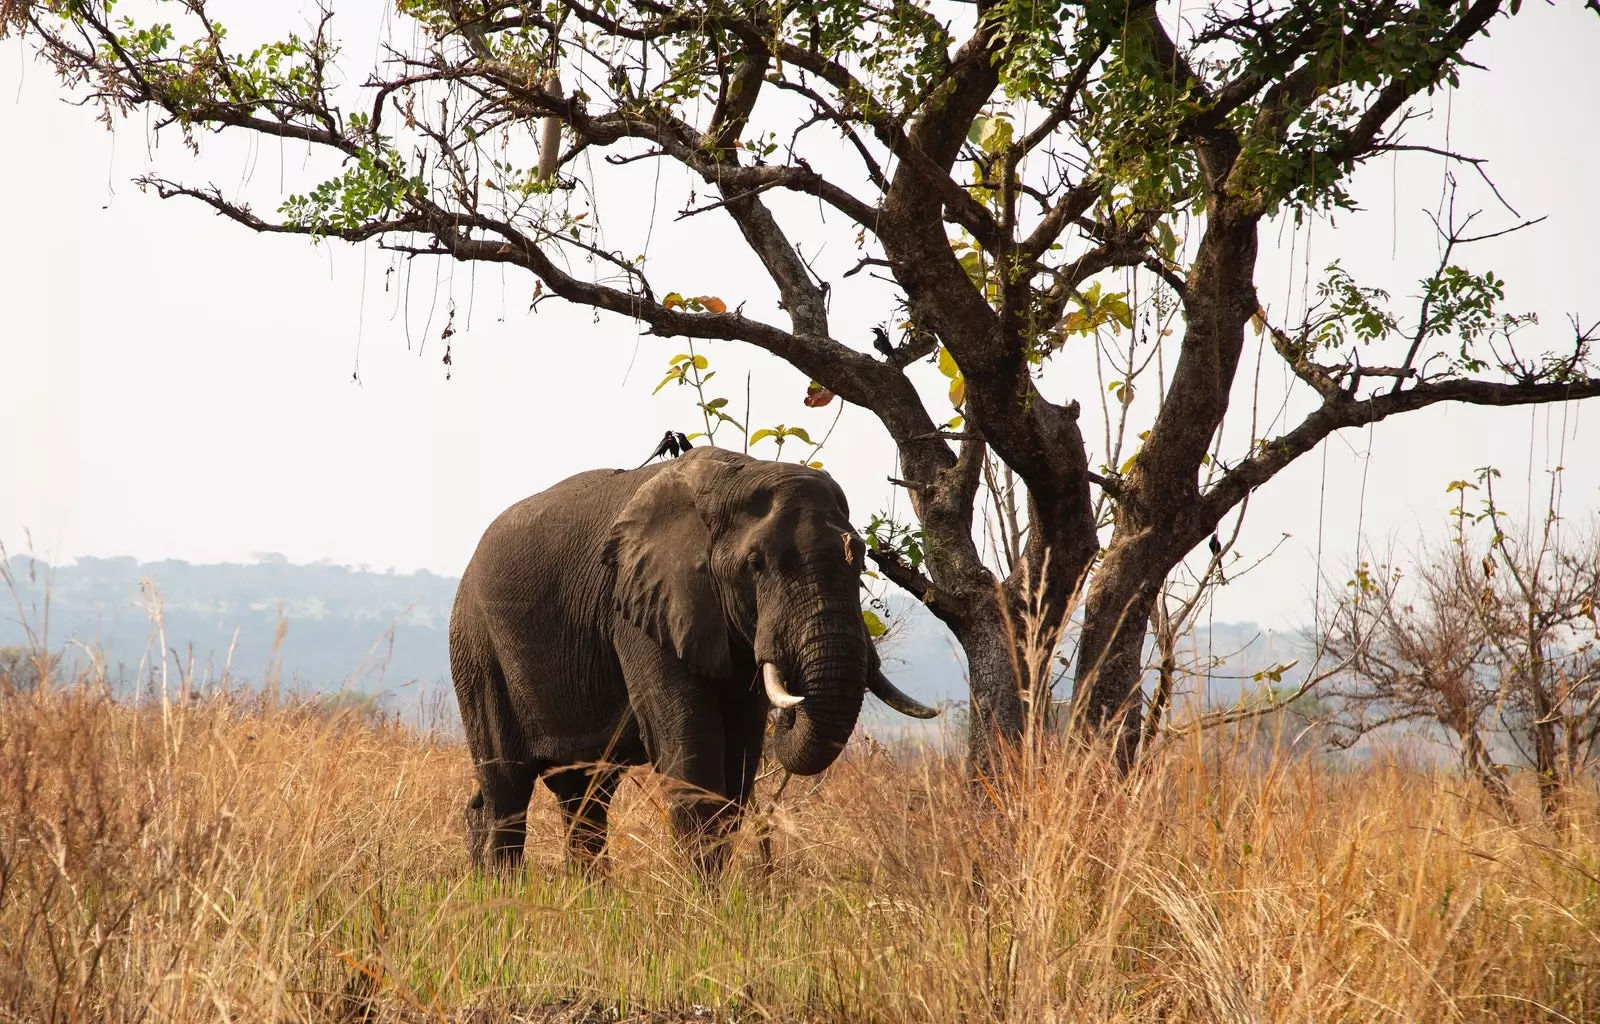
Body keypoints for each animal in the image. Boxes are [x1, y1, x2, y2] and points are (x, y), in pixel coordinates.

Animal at [451, 444, 934, 876]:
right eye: (755, 565)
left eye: (861, 557)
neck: (736, 474)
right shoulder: (640, 607)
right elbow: (691, 745)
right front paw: (707, 903)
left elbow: (739, 754)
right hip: (477, 648)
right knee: (507, 786)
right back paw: (504, 891)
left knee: (585, 793)